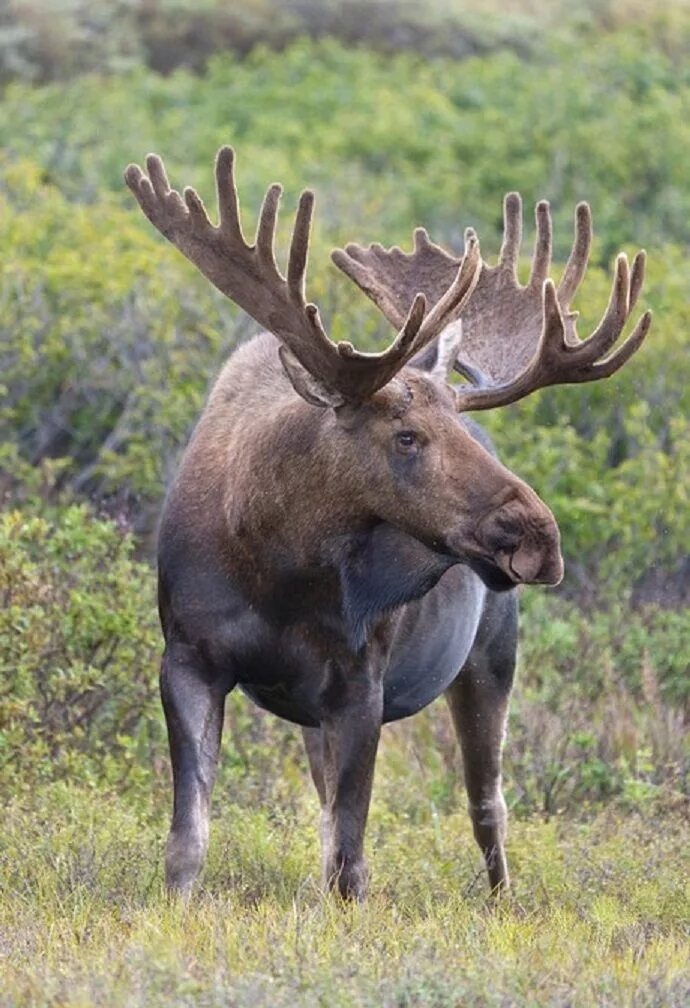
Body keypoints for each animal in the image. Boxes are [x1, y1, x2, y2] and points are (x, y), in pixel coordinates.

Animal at [124, 147, 652, 899]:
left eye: (461, 428)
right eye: (406, 436)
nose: (539, 537)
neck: (277, 567)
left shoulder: (360, 683)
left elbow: (350, 860)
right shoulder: (189, 658)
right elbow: (189, 839)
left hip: (491, 658)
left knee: (488, 806)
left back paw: (505, 902)